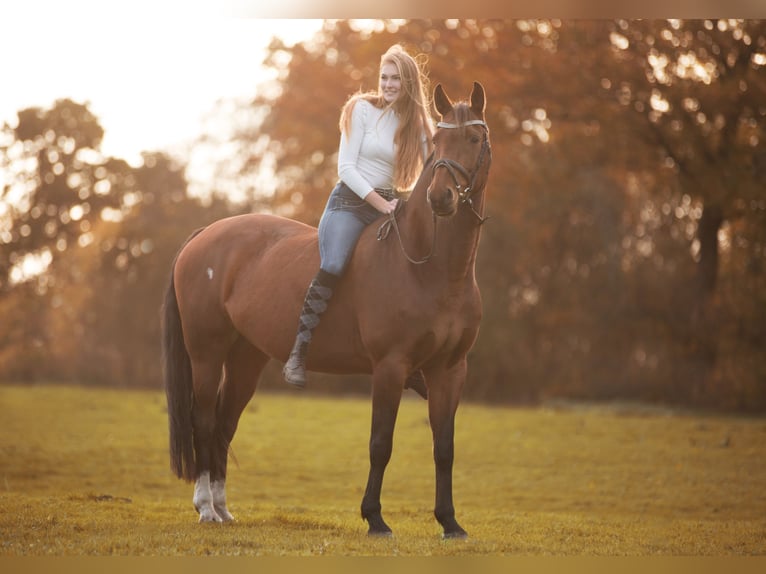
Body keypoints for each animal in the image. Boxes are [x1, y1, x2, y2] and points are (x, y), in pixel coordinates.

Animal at [162, 81, 492, 539]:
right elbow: (380, 443)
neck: (430, 266)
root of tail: (205, 234)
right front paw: (374, 518)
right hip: (206, 354)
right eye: (438, 145)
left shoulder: (450, 370)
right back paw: (206, 507)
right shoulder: (390, 367)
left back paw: (223, 509)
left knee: (225, 425)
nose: (440, 197)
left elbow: (444, 447)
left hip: (246, 357)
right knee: (204, 421)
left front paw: (450, 522)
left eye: (474, 139)